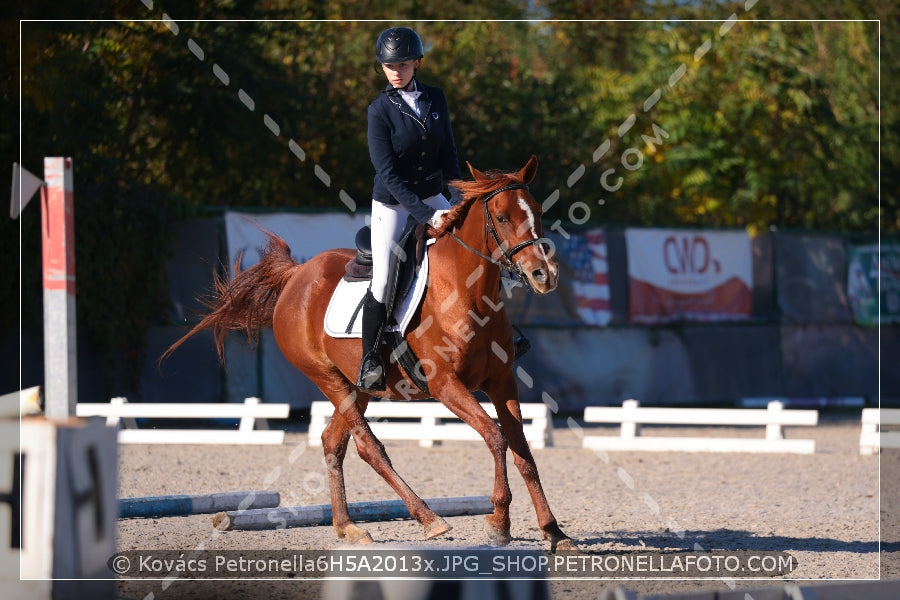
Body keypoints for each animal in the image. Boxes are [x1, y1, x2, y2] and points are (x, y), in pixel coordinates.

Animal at [163, 156, 576, 552]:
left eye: (537, 211)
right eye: (502, 217)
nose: (544, 275)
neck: (466, 291)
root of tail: (298, 274)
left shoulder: (501, 381)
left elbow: (523, 450)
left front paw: (553, 531)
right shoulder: (446, 385)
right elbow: (495, 437)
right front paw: (498, 522)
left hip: (357, 386)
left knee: (333, 442)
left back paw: (348, 527)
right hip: (327, 377)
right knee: (368, 447)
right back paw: (428, 518)